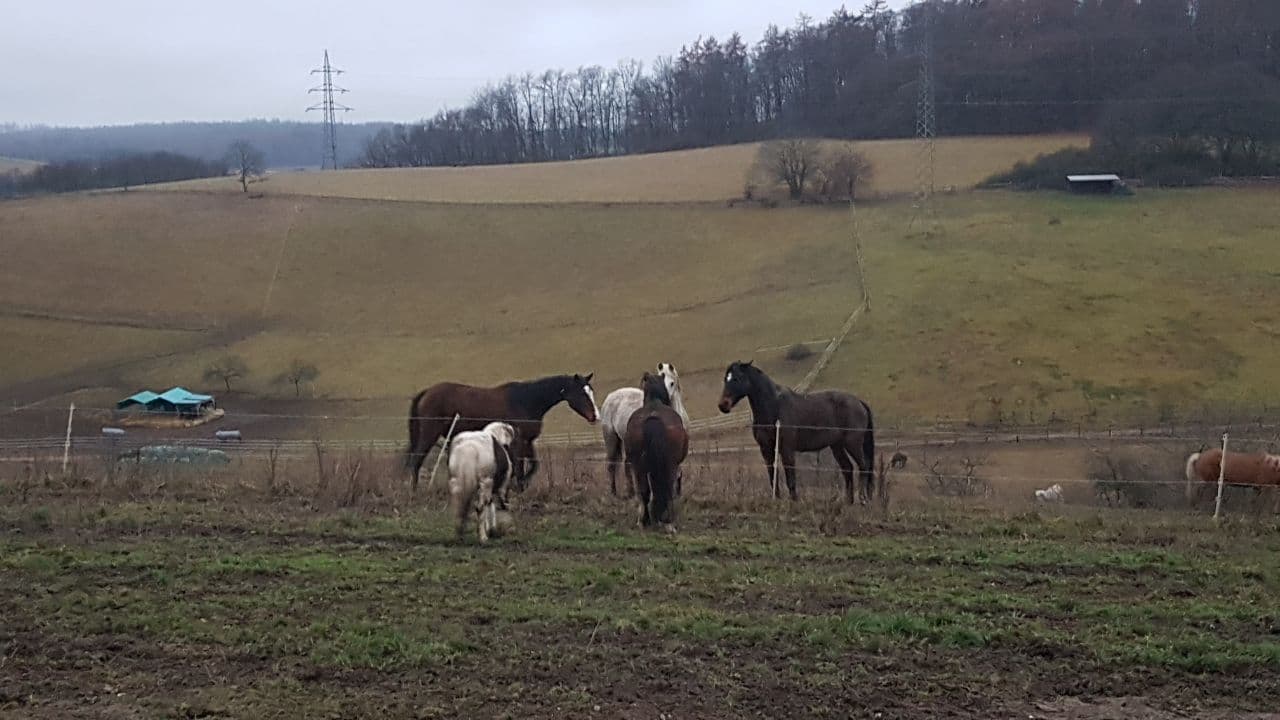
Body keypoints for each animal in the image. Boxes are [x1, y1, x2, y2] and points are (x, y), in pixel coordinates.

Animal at [404, 371, 599, 489]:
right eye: (582, 393)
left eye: (590, 391)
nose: (595, 416)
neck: (527, 401)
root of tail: (427, 392)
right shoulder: (518, 442)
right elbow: (519, 468)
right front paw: (518, 488)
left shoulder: (527, 441)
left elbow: (532, 466)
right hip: (429, 434)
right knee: (416, 462)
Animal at [601, 361, 691, 497]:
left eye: (672, 383)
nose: (666, 400)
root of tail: (610, 397)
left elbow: (678, 473)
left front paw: (678, 493)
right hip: (611, 439)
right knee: (611, 466)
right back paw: (614, 493)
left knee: (626, 465)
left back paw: (631, 493)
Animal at [622, 368, 691, 527]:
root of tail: (653, 417)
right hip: (669, 465)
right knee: (667, 488)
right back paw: (668, 519)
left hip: (639, 466)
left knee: (645, 491)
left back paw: (645, 520)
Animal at [716, 356, 875, 502]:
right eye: (725, 379)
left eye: (736, 378)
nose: (723, 405)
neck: (774, 406)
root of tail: (859, 402)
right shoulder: (766, 449)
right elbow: (772, 475)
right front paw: (777, 499)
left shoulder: (787, 449)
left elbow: (790, 477)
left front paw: (794, 501)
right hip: (837, 446)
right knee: (848, 469)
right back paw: (849, 501)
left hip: (852, 444)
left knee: (863, 466)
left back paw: (862, 499)